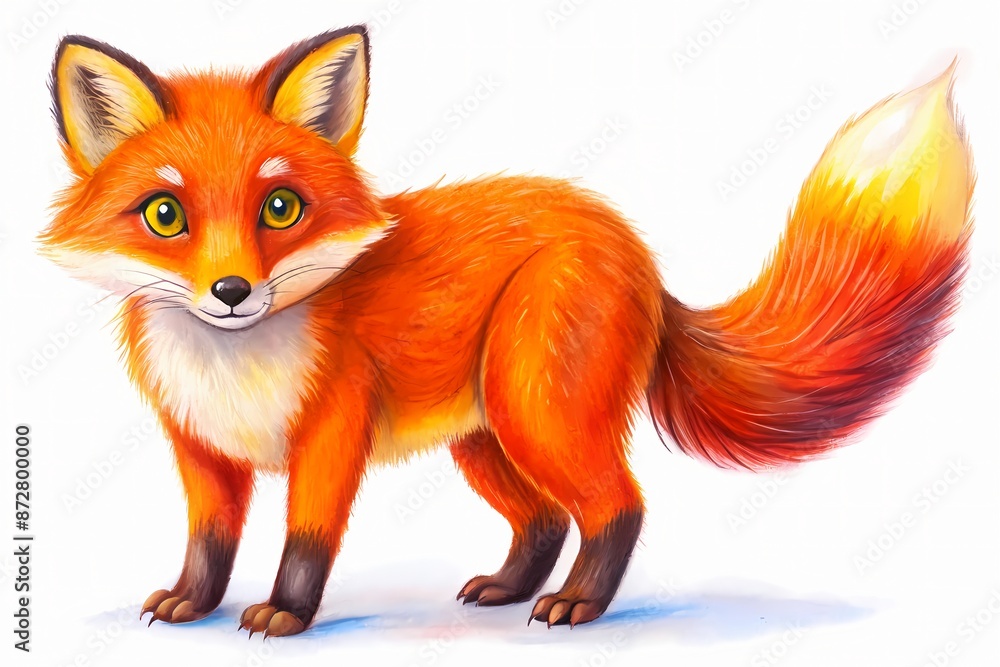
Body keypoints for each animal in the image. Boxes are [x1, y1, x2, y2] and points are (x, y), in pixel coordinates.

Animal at [41, 26, 973, 637]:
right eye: (165, 214)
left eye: (280, 208)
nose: (232, 291)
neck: (234, 364)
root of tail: (635, 248)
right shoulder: (200, 446)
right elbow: (208, 543)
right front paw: (194, 603)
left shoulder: (332, 433)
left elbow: (305, 540)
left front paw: (287, 613)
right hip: (485, 435)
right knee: (548, 519)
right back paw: (509, 586)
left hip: (535, 410)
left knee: (618, 505)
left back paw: (578, 604)